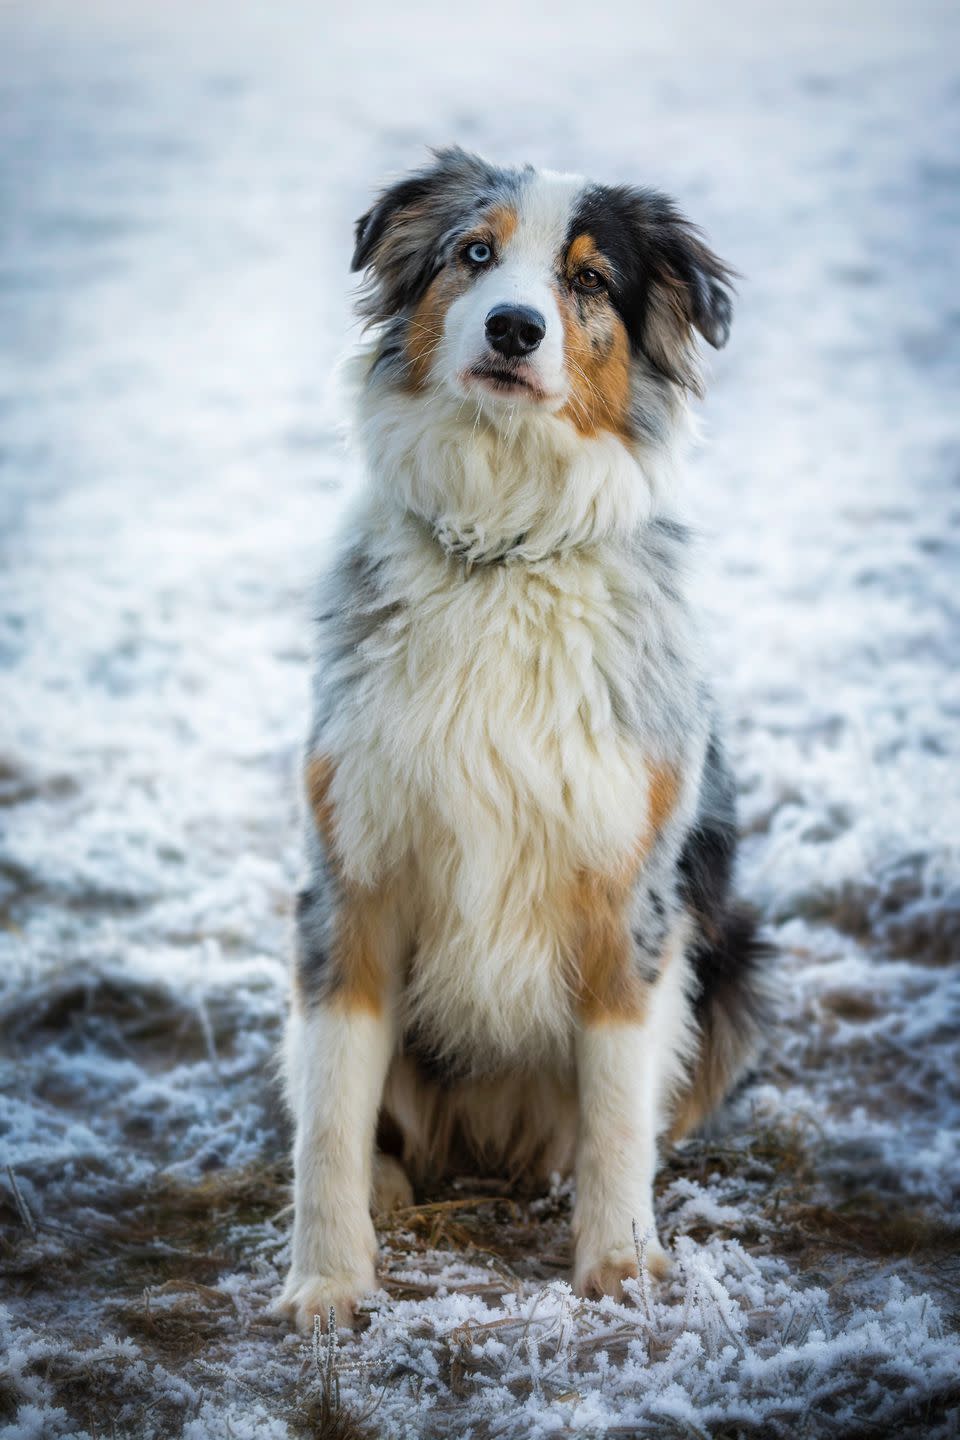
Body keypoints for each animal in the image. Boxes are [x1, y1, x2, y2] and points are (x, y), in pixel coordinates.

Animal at [273, 146, 771, 1324]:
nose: (512, 327)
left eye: (588, 281)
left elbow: (618, 1111)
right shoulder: (351, 874)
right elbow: (330, 1113)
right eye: (473, 254)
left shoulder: (630, 893)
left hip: (734, 975)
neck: (501, 552)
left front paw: (621, 1266)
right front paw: (326, 1281)